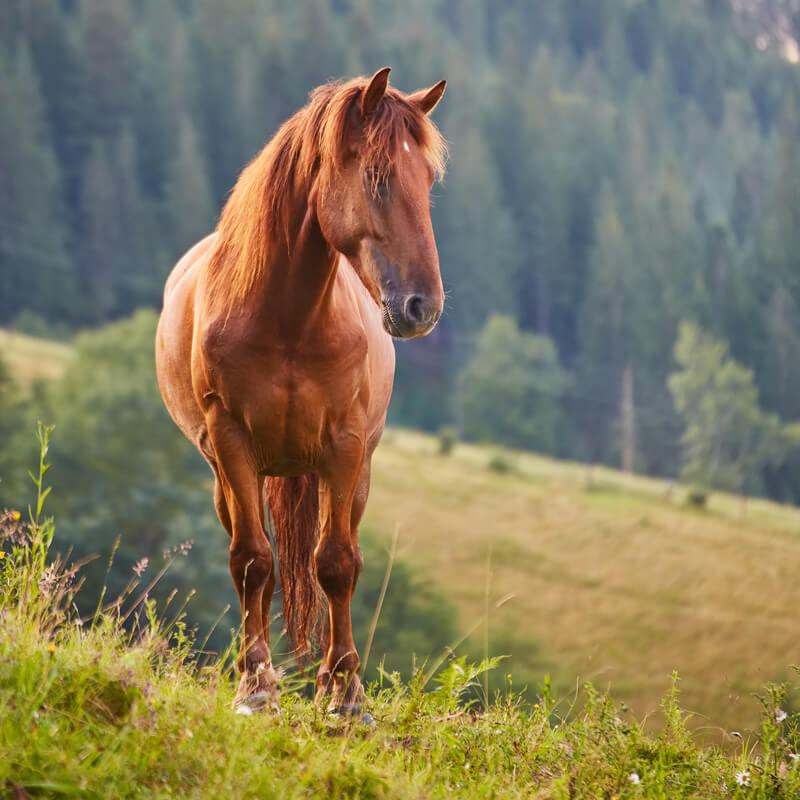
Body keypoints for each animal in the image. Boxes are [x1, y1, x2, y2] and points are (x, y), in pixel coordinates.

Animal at [153, 69, 446, 716]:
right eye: (377, 176)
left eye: (429, 181)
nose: (424, 306)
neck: (288, 319)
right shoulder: (232, 442)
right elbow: (252, 561)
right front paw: (256, 686)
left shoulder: (345, 445)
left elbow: (335, 565)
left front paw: (346, 696)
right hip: (231, 475)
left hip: (354, 475)